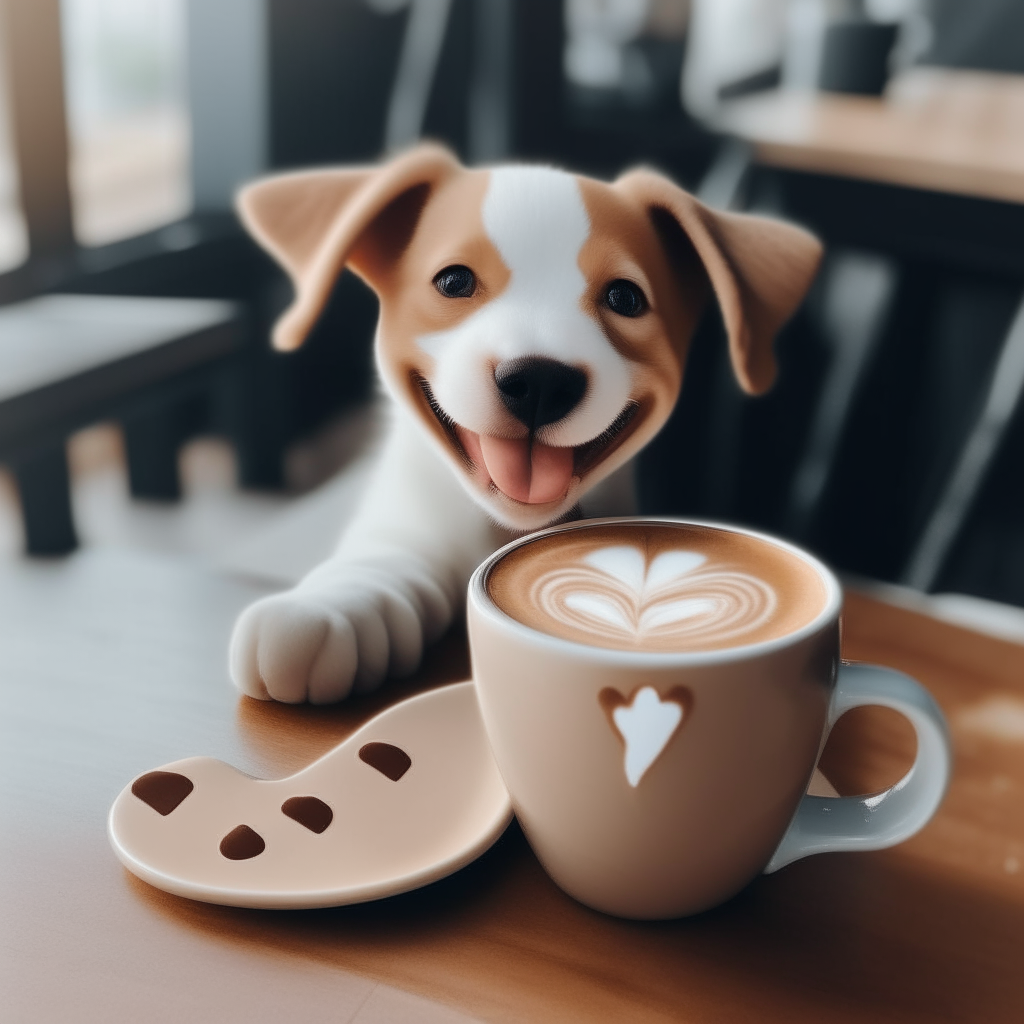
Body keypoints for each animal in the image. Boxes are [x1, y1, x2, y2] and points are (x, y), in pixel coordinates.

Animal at [228, 144, 819, 704]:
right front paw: (328, 605)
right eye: (454, 281)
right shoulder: (405, 521)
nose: (539, 382)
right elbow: (383, 559)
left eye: (625, 297)